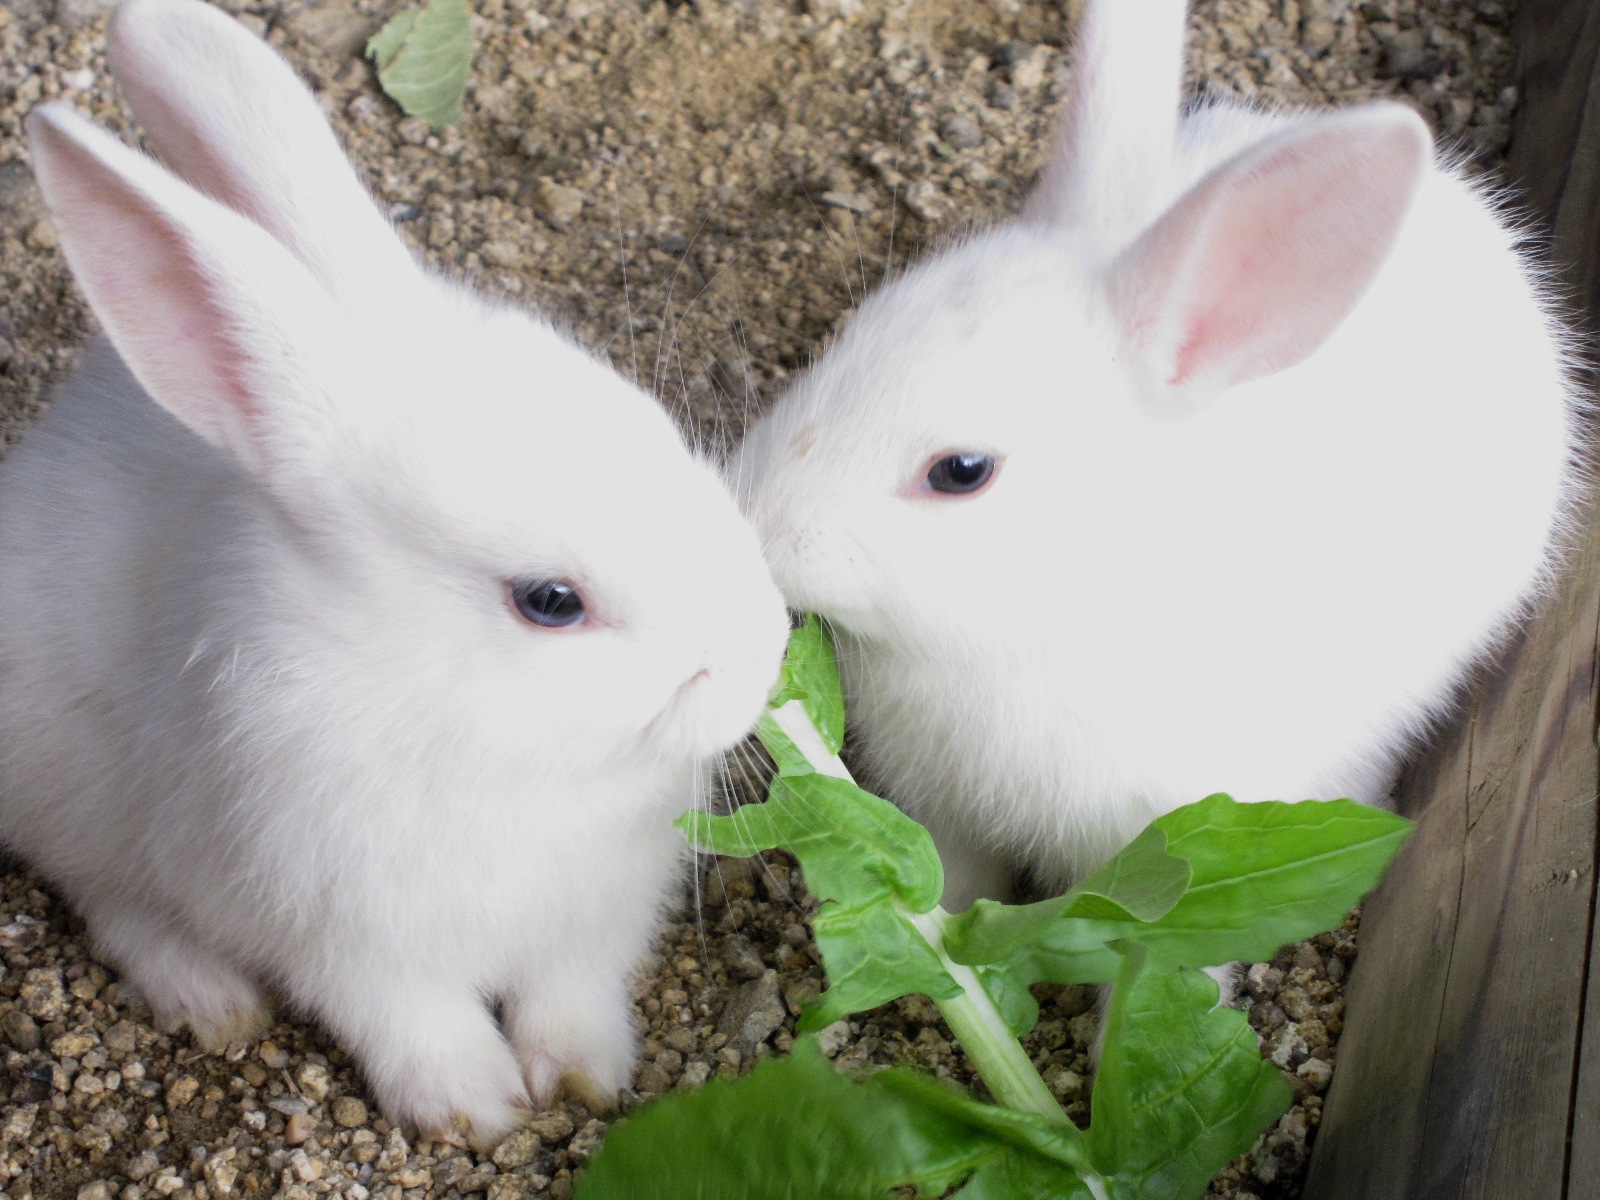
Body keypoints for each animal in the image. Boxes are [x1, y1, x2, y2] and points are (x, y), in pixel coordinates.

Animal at [0, 0, 787, 1152]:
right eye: (549, 602)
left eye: (660, 432)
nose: (764, 655)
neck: (508, 759)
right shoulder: (340, 934)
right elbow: (408, 1015)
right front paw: (477, 1109)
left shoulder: (594, 918)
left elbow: (573, 994)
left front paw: (584, 1078)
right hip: (72, 796)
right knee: (118, 904)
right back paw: (209, 1000)